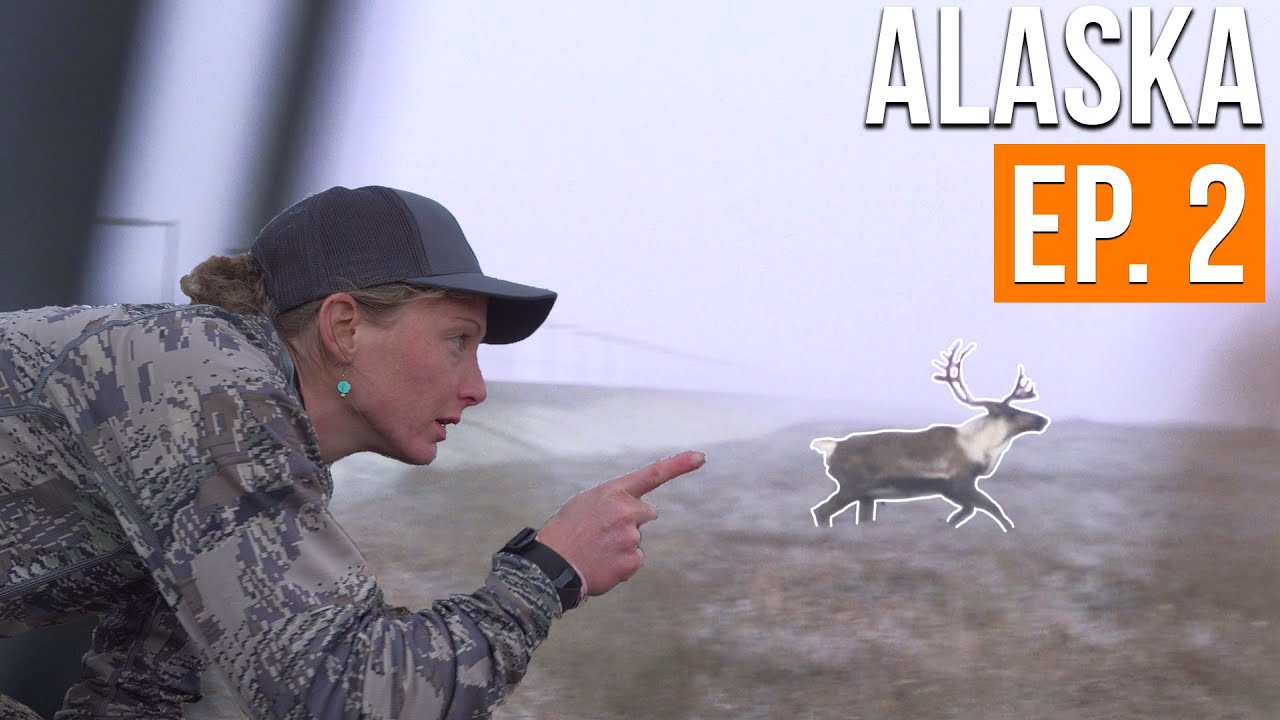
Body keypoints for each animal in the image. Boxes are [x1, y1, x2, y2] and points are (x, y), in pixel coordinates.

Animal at [809, 340, 1049, 532]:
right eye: (1012, 412)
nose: (1042, 420)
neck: (979, 446)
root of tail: (832, 446)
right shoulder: (960, 483)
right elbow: (992, 508)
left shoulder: (949, 489)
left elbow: (969, 510)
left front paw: (946, 523)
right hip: (852, 487)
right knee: (821, 511)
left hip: (867, 495)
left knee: (859, 518)